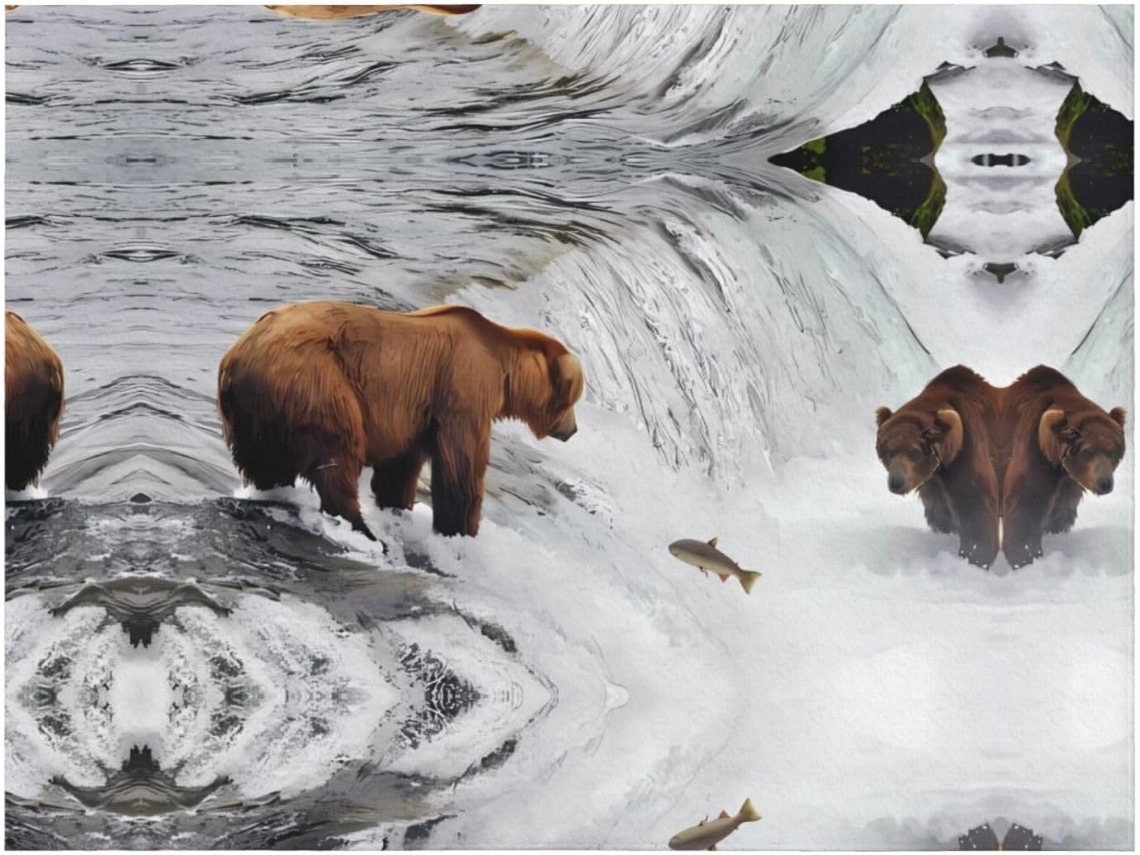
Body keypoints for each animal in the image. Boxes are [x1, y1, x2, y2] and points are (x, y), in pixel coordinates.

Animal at [217, 301, 584, 541]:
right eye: (574, 398)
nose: (573, 430)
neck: (505, 368)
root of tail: (234, 357)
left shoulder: (418, 413)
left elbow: (400, 466)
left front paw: (398, 504)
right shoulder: (462, 388)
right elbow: (460, 468)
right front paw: (460, 528)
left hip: (254, 413)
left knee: (266, 464)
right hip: (314, 380)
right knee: (337, 455)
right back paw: (362, 528)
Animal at [875, 365, 1001, 568]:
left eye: (914, 452)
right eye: (888, 451)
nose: (896, 482)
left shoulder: (970, 457)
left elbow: (977, 507)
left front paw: (976, 554)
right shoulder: (933, 486)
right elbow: (941, 515)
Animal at [1000, 365, 1125, 569]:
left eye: (1113, 451)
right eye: (1087, 452)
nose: (1105, 483)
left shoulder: (1068, 482)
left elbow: (1062, 511)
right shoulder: (1032, 450)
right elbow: (1026, 500)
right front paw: (1024, 554)